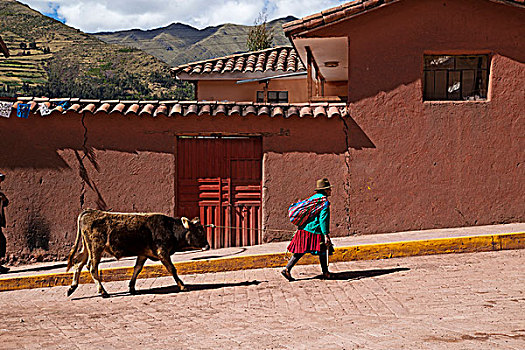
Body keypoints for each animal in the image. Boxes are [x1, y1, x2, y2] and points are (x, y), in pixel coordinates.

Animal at [66, 209, 210, 296]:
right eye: (199, 231)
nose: (208, 246)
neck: (169, 228)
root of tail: (90, 211)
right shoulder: (163, 253)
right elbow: (172, 269)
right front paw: (182, 285)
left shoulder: (143, 254)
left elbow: (137, 268)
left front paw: (131, 287)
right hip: (96, 248)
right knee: (91, 267)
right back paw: (102, 291)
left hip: (87, 248)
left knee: (78, 264)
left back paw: (72, 287)